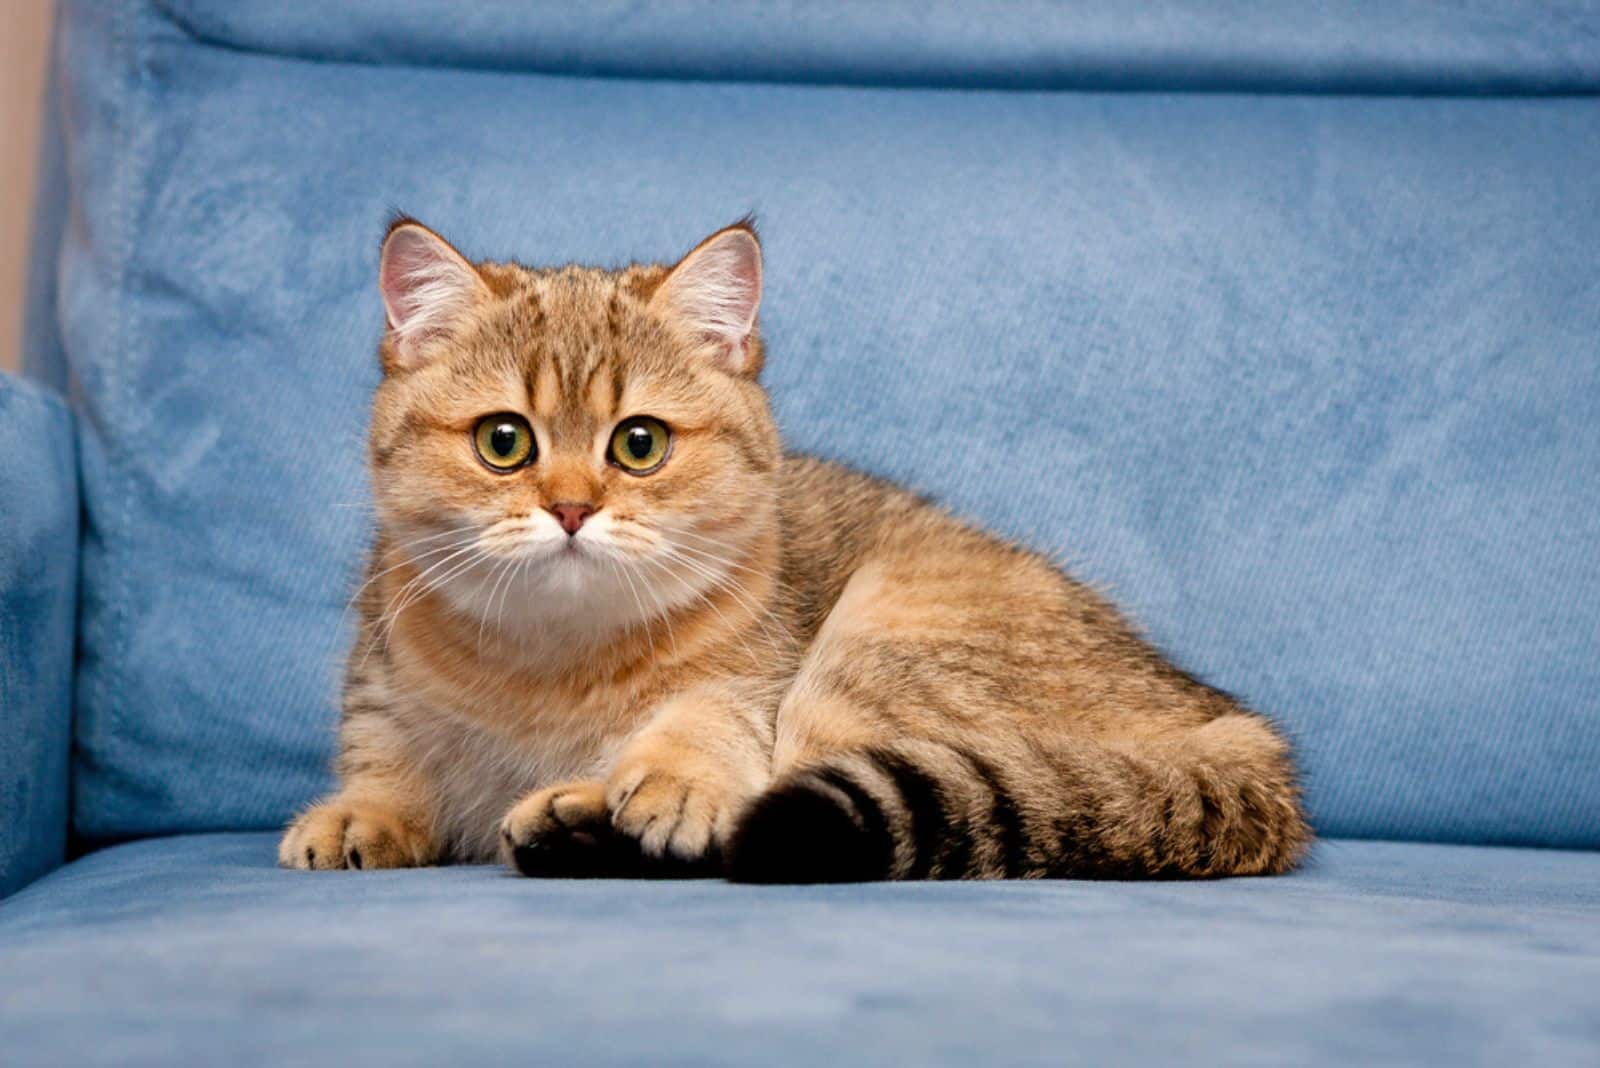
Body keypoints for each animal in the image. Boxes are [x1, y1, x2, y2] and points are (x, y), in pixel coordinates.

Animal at [281, 219, 1312, 882]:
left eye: (639, 444)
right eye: (504, 442)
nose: (571, 508)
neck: (550, 662)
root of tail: (1223, 721)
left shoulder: (755, 681)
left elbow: (706, 726)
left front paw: (666, 779)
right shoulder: (382, 668)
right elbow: (384, 752)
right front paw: (364, 812)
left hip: (881, 639)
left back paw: (578, 820)